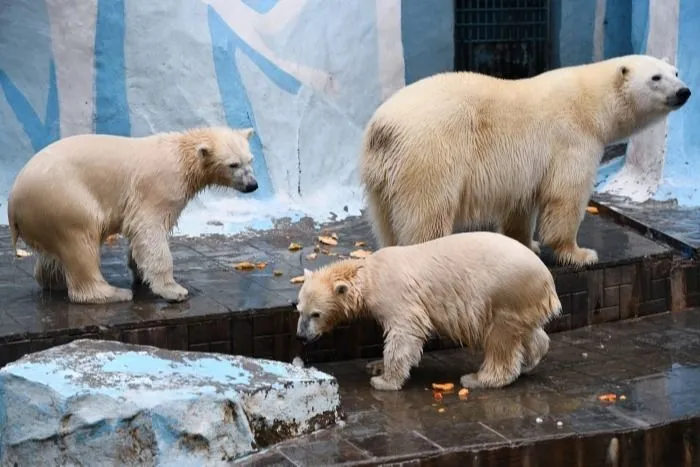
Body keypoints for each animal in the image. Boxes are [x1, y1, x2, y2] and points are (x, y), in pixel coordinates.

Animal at [7, 126, 260, 306]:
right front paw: (173, 290)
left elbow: (139, 237)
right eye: (233, 164)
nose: (253, 185)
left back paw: (54, 280)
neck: (182, 156)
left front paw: (140, 273)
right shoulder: (161, 187)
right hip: (64, 200)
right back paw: (113, 293)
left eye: (250, 159)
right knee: (80, 242)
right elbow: (150, 231)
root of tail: (12, 204)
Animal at [296, 233, 564, 392]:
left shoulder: (395, 293)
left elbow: (404, 332)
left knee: (501, 338)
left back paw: (478, 379)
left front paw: (384, 380)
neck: (367, 274)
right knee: (528, 333)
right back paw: (528, 362)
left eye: (316, 314)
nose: (301, 336)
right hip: (521, 302)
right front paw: (375, 366)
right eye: (299, 310)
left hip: (504, 292)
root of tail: (548, 280)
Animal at [358, 54, 692, 266]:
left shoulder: (525, 166)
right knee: (428, 216)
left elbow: (520, 204)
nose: (684, 91)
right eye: (656, 77)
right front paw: (580, 254)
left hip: (381, 173)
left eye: (676, 72)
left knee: (384, 220)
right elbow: (565, 197)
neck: (591, 103)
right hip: (430, 155)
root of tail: (384, 126)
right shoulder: (571, 139)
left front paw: (527, 244)